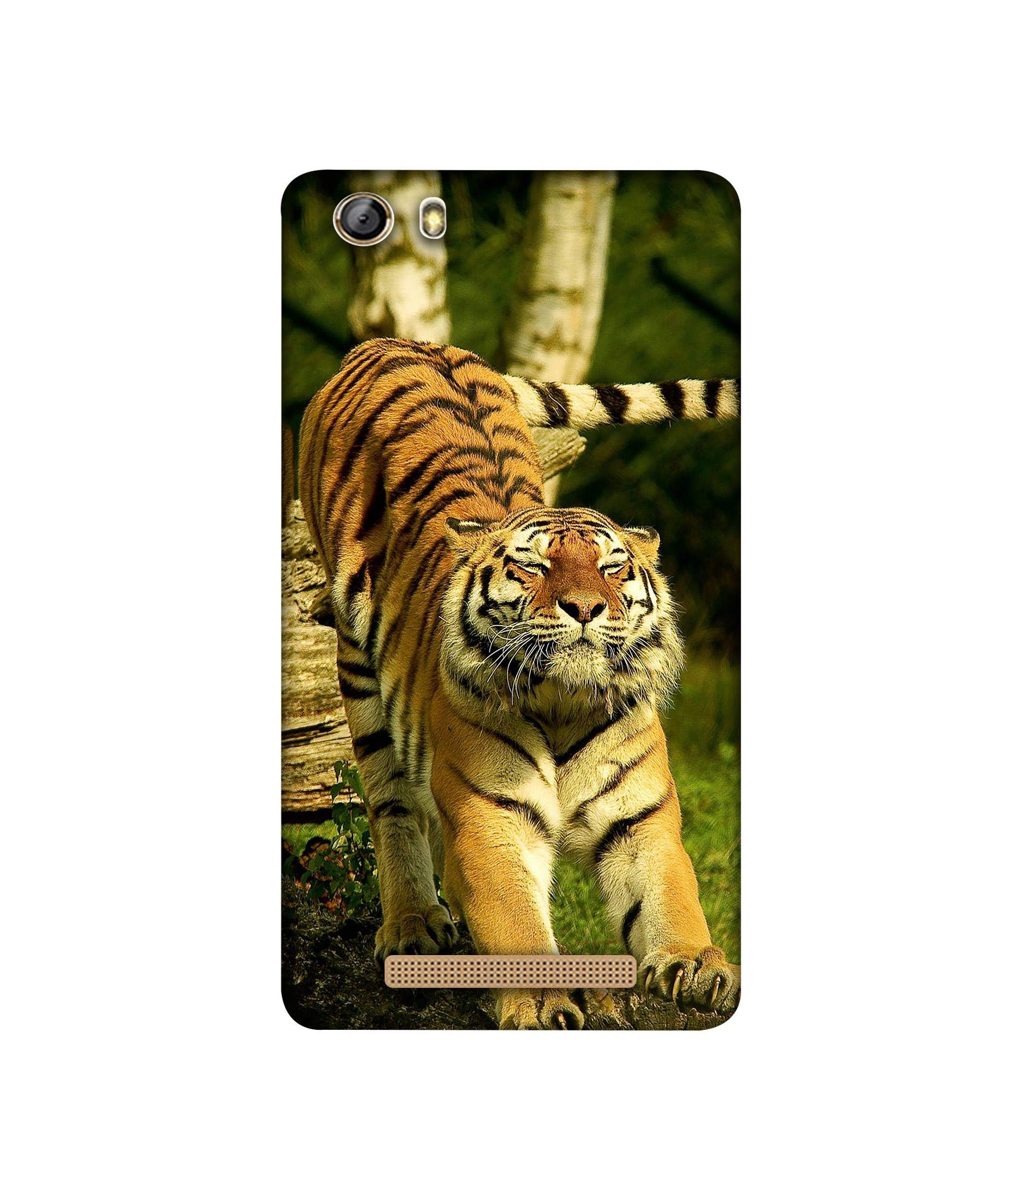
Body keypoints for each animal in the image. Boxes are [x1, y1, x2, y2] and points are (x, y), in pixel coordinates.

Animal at [298, 337, 739, 1029]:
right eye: (533, 567)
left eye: (614, 568)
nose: (585, 606)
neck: (563, 702)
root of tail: (398, 342)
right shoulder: (491, 816)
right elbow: (513, 918)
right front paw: (538, 1000)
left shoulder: (640, 818)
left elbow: (672, 893)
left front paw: (696, 965)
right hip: (356, 667)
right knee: (391, 801)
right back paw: (412, 923)